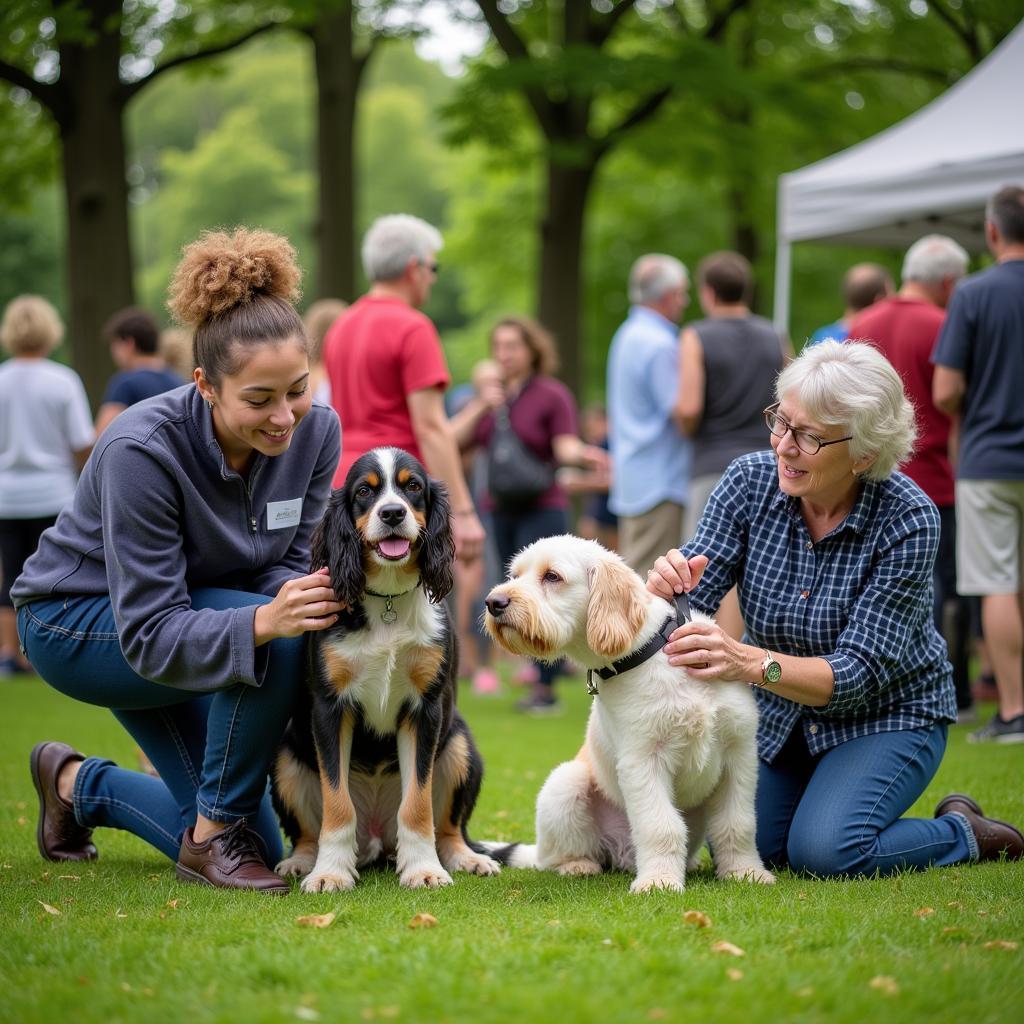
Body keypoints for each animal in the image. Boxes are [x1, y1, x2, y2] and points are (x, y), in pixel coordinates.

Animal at [483, 540, 770, 892]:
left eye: (552, 576)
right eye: (515, 575)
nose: (493, 603)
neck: (652, 653)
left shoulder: (739, 754)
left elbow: (738, 824)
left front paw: (746, 872)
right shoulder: (643, 760)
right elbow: (660, 826)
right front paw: (659, 882)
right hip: (566, 781)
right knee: (553, 858)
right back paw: (578, 866)